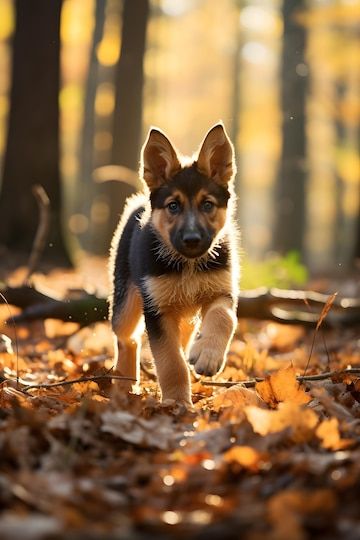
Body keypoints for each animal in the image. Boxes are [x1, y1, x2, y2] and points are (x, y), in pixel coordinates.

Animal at [109, 124, 239, 408]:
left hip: (184, 314)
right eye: (173, 206)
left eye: (207, 204)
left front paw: (208, 354)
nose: (192, 239)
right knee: (126, 338)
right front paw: (177, 403)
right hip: (127, 303)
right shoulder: (157, 311)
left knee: (184, 336)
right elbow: (171, 362)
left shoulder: (221, 292)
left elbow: (224, 318)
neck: (188, 264)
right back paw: (123, 383)